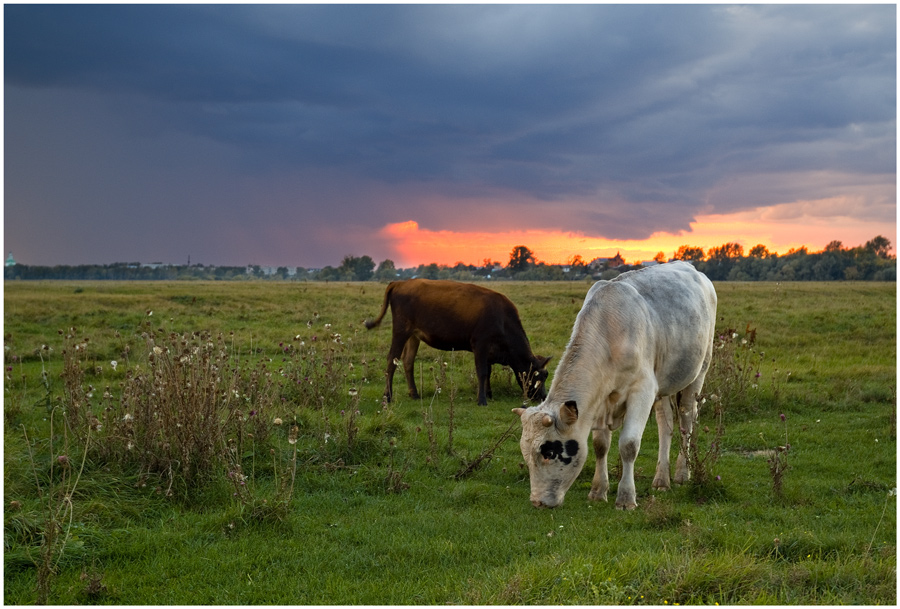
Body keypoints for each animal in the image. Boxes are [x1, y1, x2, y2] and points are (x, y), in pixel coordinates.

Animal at [364, 280, 548, 404]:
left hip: (413, 336)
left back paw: (414, 394)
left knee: (408, 361)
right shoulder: (480, 344)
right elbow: (482, 372)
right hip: (400, 331)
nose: (543, 397)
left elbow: (487, 372)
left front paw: (488, 394)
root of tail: (400, 282)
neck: (502, 319)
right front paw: (482, 400)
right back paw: (388, 396)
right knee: (391, 360)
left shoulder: (488, 351)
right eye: (538, 376)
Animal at [512, 262, 716, 508]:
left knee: (686, 421)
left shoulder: (642, 391)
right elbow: (600, 446)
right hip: (665, 384)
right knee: (665, 425)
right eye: (525, 453)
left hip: (698, 373)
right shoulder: (600, 400)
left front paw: (626, 498)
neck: (609, 334)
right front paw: (598, 491)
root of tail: (689, 266)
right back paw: (661, 479)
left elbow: (628, 445)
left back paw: (681, 474)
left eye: (548, 452)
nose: (537, 501)